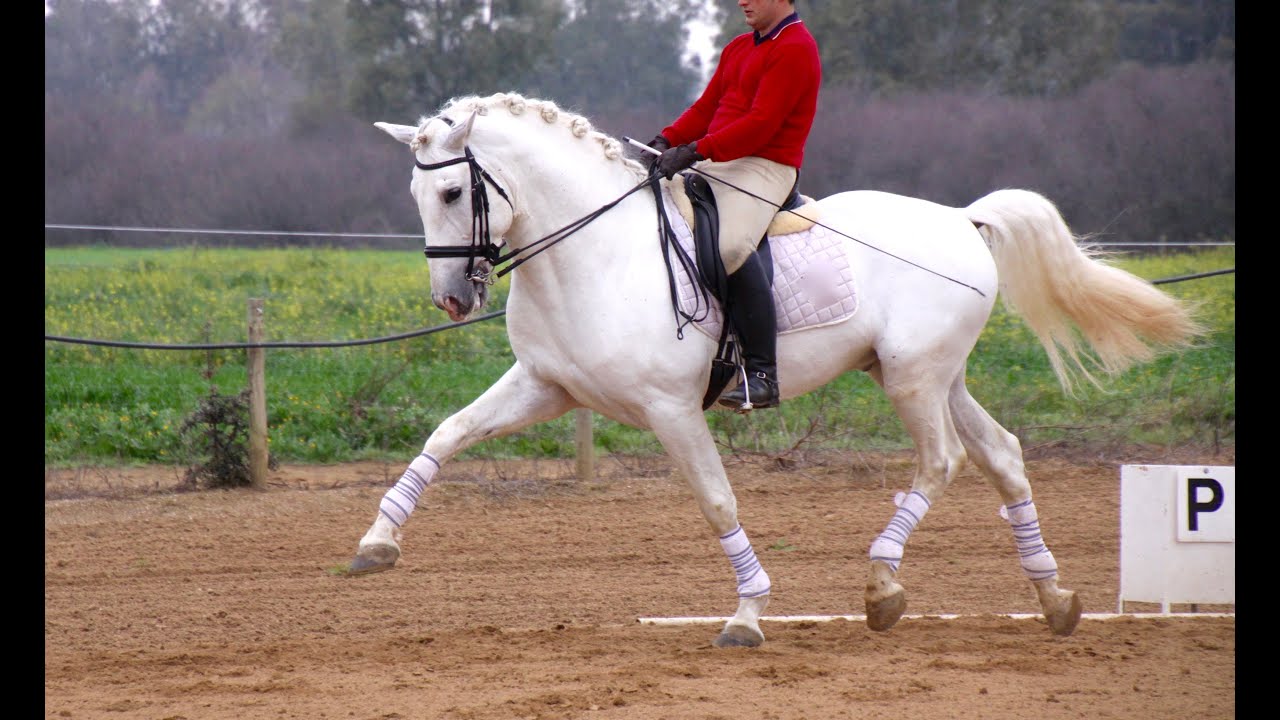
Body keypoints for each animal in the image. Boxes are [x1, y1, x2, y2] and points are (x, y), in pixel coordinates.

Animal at [349, 92, 1201, 648]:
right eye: (418, 192)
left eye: (452, 190)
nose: (453, 298)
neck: (590, 252)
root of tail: (962, 218)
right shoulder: (545, 386)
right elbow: (446, 434)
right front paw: (376, 544)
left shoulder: (670, 409)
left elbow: (717, 501)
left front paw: (748, 613)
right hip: (934, 375)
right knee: (1003, 455)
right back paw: (1054, 598)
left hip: (912, 378)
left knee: (942, 461)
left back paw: (884, 587)